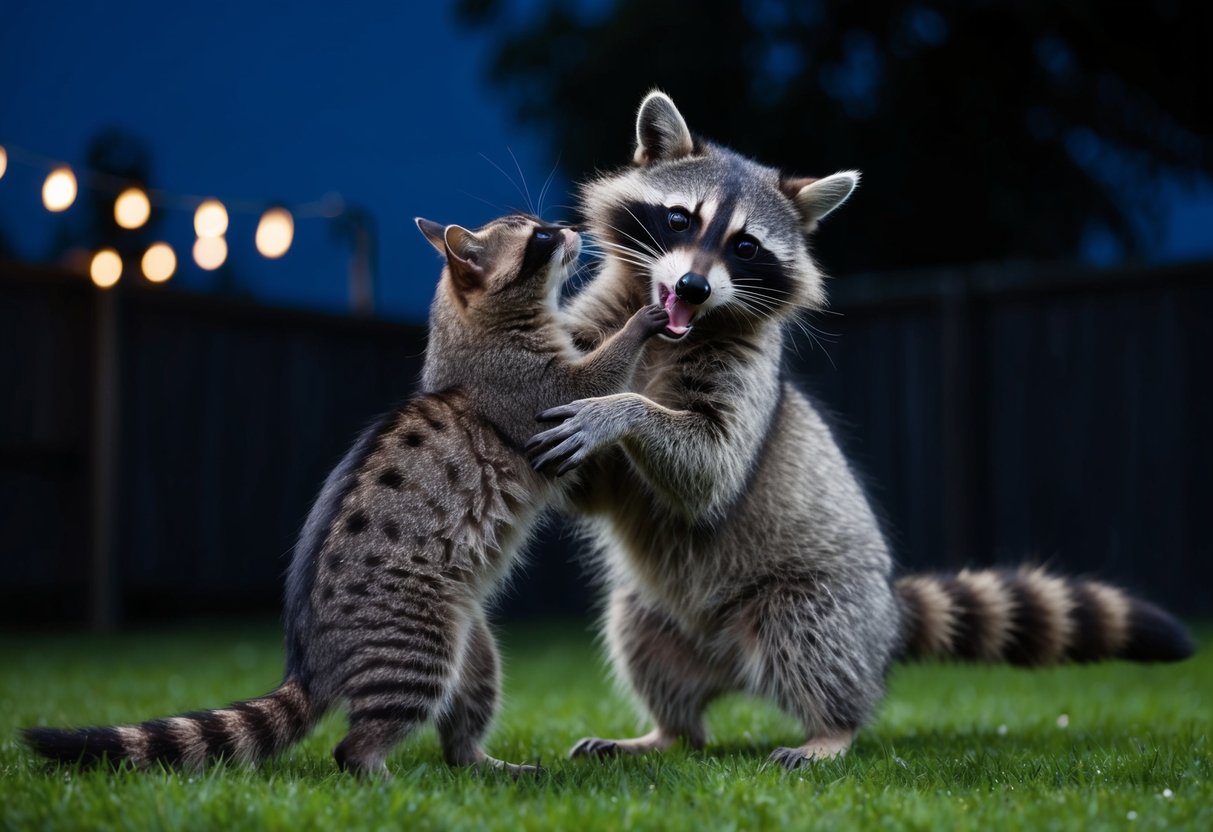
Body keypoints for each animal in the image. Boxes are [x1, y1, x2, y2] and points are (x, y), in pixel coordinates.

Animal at [23, 214, 668, 777]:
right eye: (539, 237)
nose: (571, 229)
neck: (474, 324)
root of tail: (309, 661)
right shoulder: (526, 391)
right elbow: (588, 381)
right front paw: (635, 323)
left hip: (472, 640)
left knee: (470, 699)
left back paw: (475, 759)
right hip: (416, 638)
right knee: (357, 743)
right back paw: (377, 772)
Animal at [528, 91, 1195, 767]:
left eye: (745, 247)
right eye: (679, 219)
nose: (693, 285)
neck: (671, 333)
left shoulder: (746, 376)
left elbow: (710, 468)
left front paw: (621, 410)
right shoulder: (599, 325)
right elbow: (595, 484)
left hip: (818, 594)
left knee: (813, 643)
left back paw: (831, 729)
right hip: (654, 611)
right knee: (642, 646)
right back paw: (666, 730)